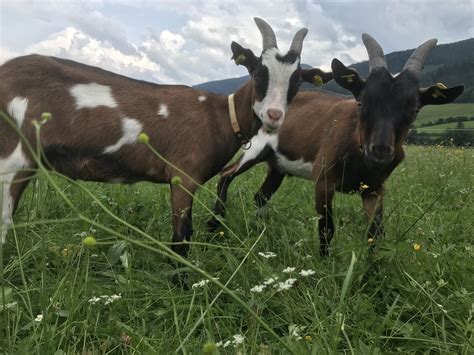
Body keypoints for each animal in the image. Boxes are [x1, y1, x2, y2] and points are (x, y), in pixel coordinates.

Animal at [0, 18, 324, 258]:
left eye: (297, 81)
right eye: (257, 73)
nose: (274, 115)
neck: (218, 116)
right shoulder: (183, 176)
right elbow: (181, 238)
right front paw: (183, 287)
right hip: (12, 158)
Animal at [207, 34, 462, 256]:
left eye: (415, 109)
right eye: (361, 102)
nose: (380, 151)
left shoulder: (375, 189)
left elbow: (375, 234)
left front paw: (371, 273)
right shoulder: (323, 180)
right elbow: (327, 228)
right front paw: (324, 264)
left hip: (277, 166)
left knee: (261, 196)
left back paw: (261, 232)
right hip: (257, 149)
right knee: (227, 173)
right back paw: (214, 225)